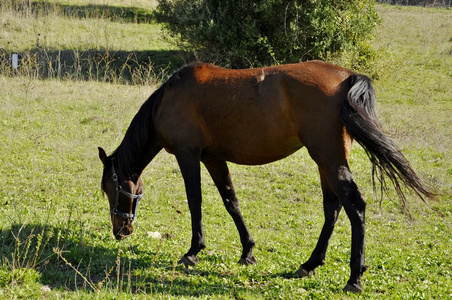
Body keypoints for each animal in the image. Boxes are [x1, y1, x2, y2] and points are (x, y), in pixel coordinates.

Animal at [99, 61, 434, 292]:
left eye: (107, 188)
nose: (121, 231)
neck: (169, 99)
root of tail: (346, 76)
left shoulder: (188, 155)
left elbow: (195, 202)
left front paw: (194, 251)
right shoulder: (213, 158)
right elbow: (231, 201)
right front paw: (247, 251)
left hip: (328, 158)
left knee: (355, 206)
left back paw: (354, 277)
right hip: (326, 161)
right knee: (333, 208)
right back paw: (310, 264)